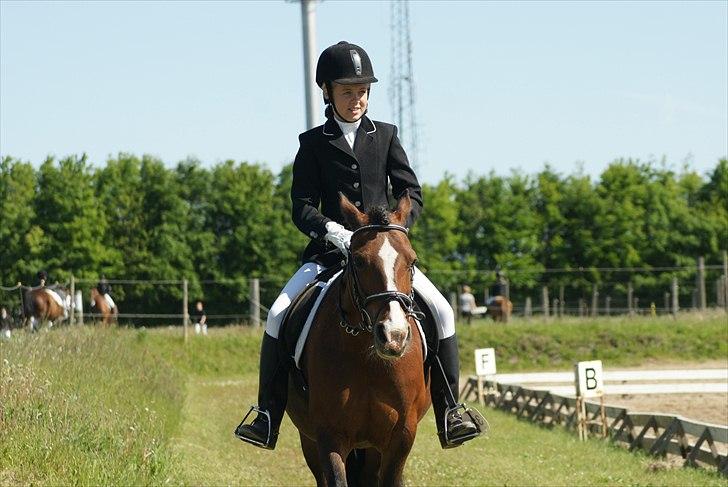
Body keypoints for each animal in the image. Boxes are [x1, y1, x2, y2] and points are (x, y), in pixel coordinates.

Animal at [286, 194, 432, 487]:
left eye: (412, 261)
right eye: (360, 261)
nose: (394, 336)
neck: (366, 355)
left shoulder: (401, 436)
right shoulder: (329, 435)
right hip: (309, 439)